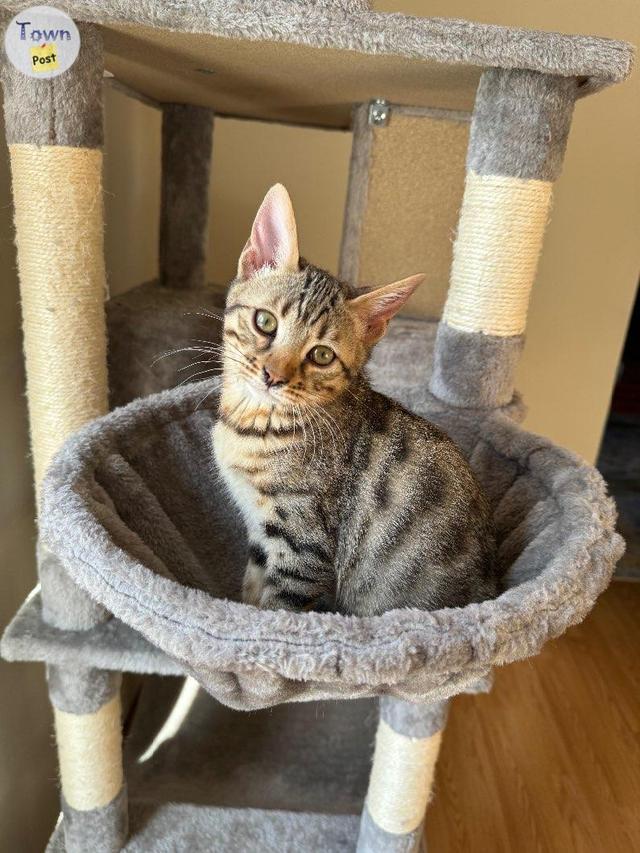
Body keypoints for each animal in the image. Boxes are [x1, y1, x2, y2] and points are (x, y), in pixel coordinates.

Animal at [212, 185, 498, 612]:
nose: (273, 377)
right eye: (265, 322)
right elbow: (251, 592)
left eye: (322, 355)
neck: (253, 423)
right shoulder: (261, 536)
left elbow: (277, 610)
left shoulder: (303, 546)